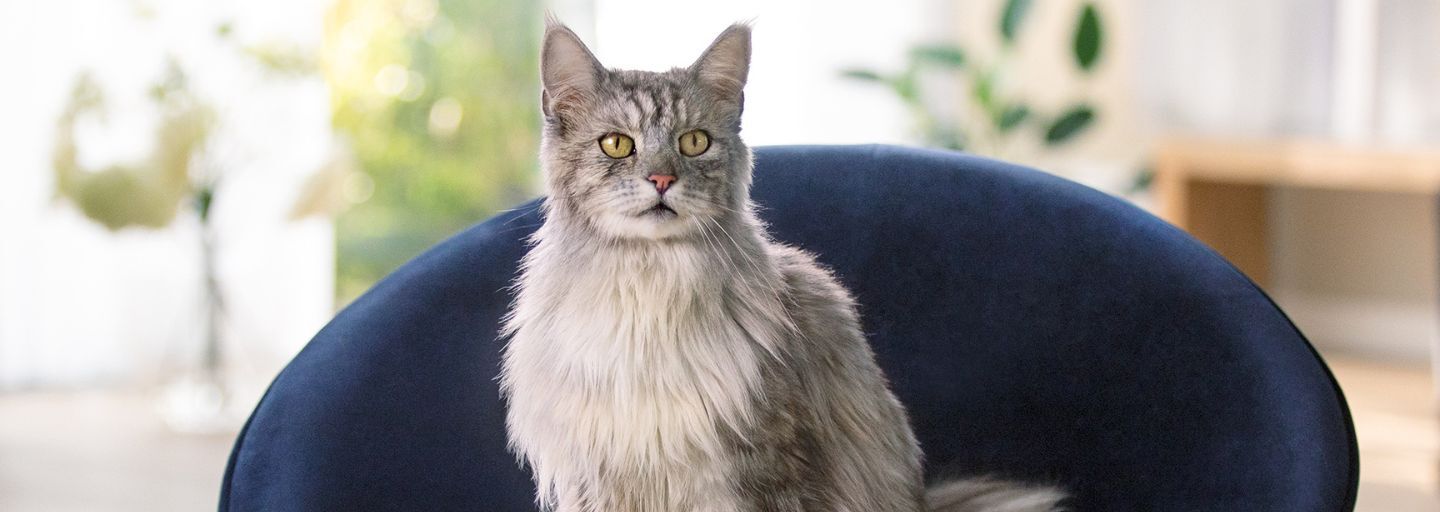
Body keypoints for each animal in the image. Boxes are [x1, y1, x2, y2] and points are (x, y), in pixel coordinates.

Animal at [501, 18, 1065, 512]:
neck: (649, 289)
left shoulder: (766, 462)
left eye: (694, 142)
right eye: (617, 144)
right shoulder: (597, 476)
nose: (662, 180)